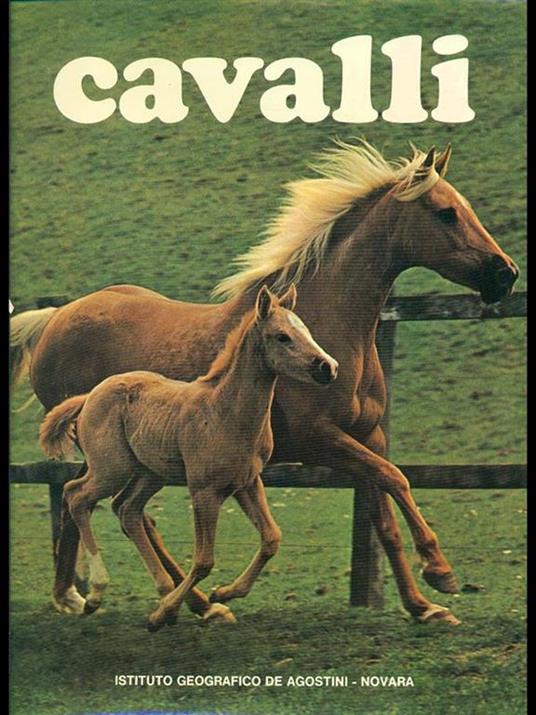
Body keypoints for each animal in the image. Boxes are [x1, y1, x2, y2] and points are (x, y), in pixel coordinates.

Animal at [39, 285, 339, 629]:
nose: (328, 367)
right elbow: (204, 560)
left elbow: (271, 538)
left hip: (150, 474)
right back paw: (97, 594)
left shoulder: (247, 482)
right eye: (282, 336)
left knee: (127, 509)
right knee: (76, 495)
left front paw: (222, 594)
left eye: (306, 330)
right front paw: (171, 611)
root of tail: (90, 395)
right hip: (111, 469)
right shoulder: (204, 490)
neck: (226, 412)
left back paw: (162, 589)